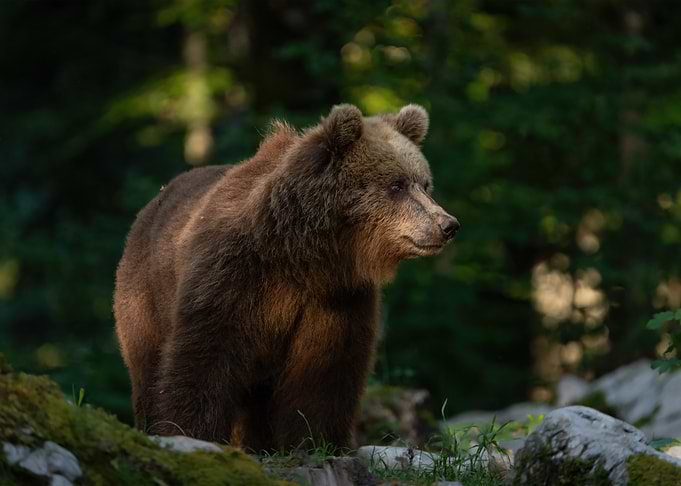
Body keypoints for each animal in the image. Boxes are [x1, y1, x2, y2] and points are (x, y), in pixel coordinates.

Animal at [113, 104, 459, 451]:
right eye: (397, 184)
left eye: (425, 183)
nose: (447, 224)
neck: (302, 257)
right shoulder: (232, 276)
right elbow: (204, 356)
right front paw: (190, 431)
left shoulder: (337, 299)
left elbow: (325, 372)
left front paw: (318, 441)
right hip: (145, 295)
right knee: (148, 363)